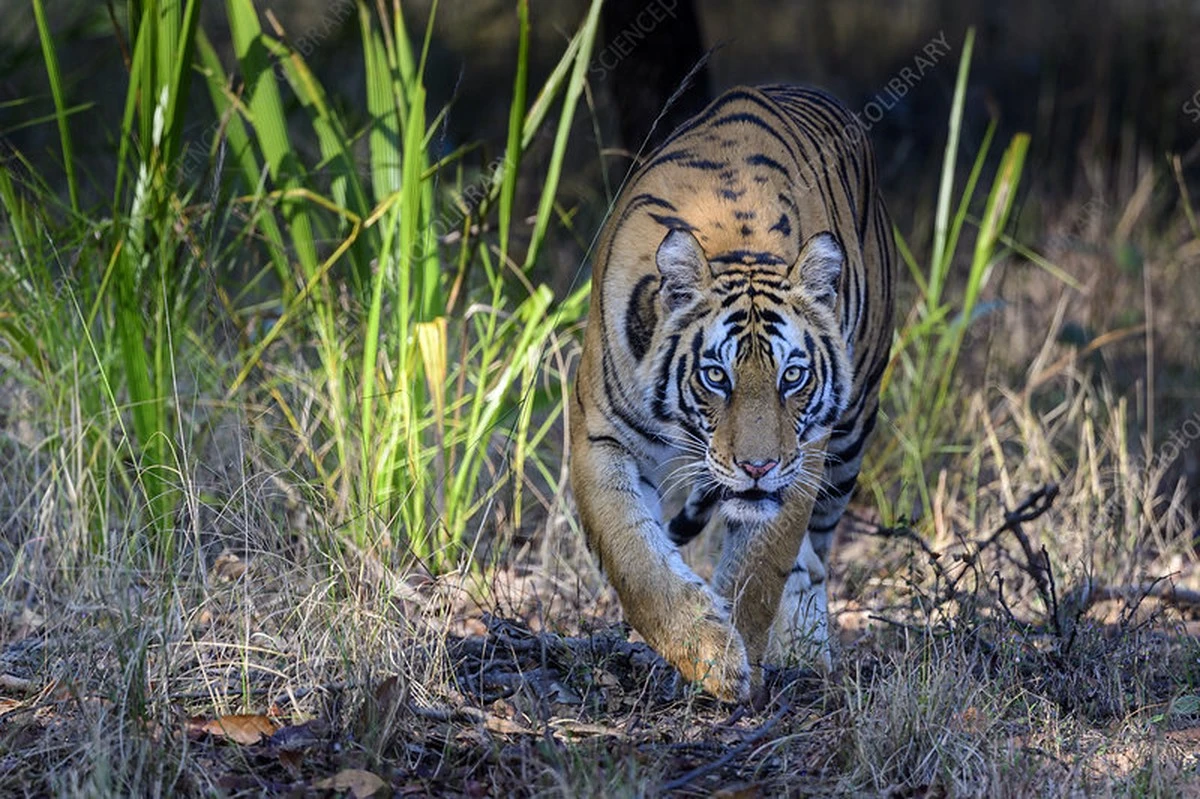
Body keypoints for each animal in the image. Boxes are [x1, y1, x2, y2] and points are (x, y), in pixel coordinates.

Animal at [569, 84, 896, 702]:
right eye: (716, 376)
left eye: (792, 376)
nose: (758, 468)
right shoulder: (602, 435)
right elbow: (635, 560)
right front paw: (708, 654)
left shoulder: (804, 454)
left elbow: (759, 570)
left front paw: (733, 659)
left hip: (851, 437)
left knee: (817, 555)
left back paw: (809, 655)